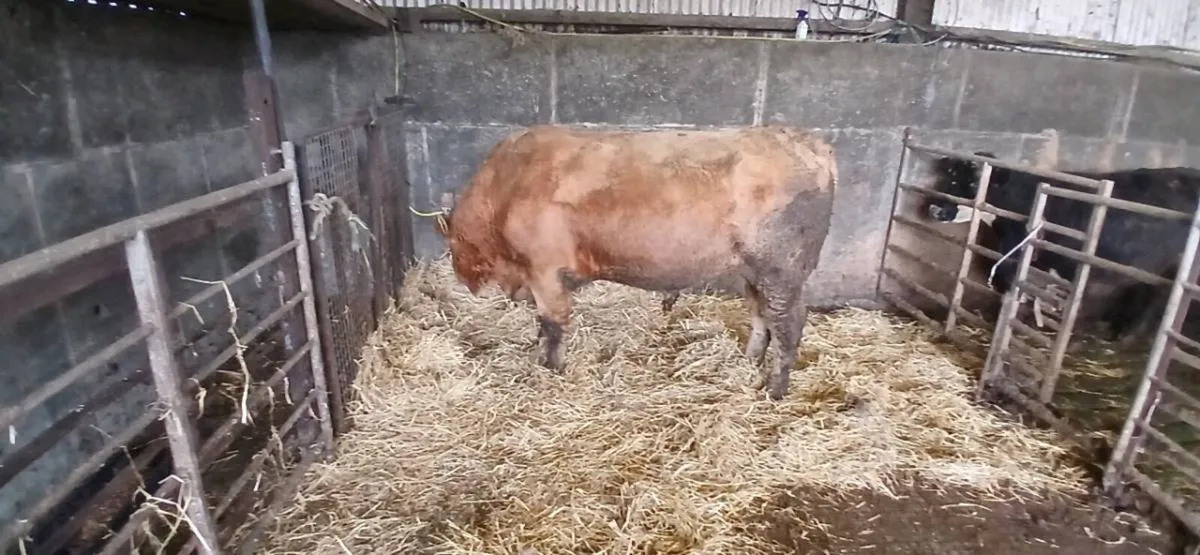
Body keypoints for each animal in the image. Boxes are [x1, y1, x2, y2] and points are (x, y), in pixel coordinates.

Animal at [435, 125, 838, 401]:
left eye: (452, 244)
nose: (463, 280)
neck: (506, 185)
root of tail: (807, 143)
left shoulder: (545, 271)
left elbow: (553, 324)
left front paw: (551, 367)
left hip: (781, 270)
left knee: (788, 324)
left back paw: (775, 388)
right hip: (755, 272)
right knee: (761, 316)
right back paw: (748, 361)